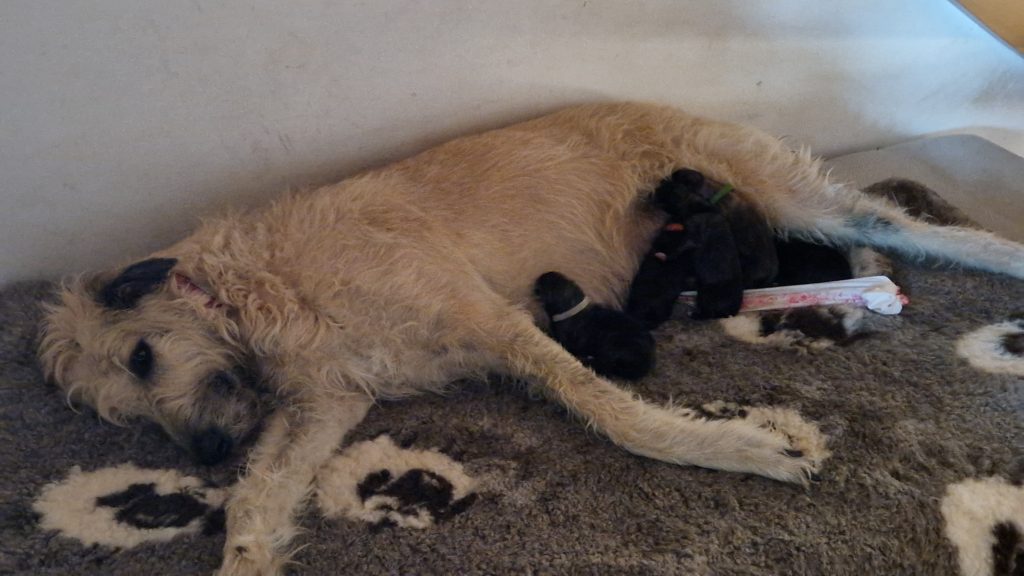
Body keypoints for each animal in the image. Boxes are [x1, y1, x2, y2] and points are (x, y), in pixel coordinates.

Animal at [38, 102, 1024, 575]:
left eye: (141, 355)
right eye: (126, 415)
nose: (201, 453)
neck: (263, 293)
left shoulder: (493, 320)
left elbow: (616, 414)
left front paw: (736, 446)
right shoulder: (328, 401)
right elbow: (260, 494)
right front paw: (244, 553)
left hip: (776, 188)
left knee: (901, 221)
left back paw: (989, 258)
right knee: (867, 242)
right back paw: (857, 292)